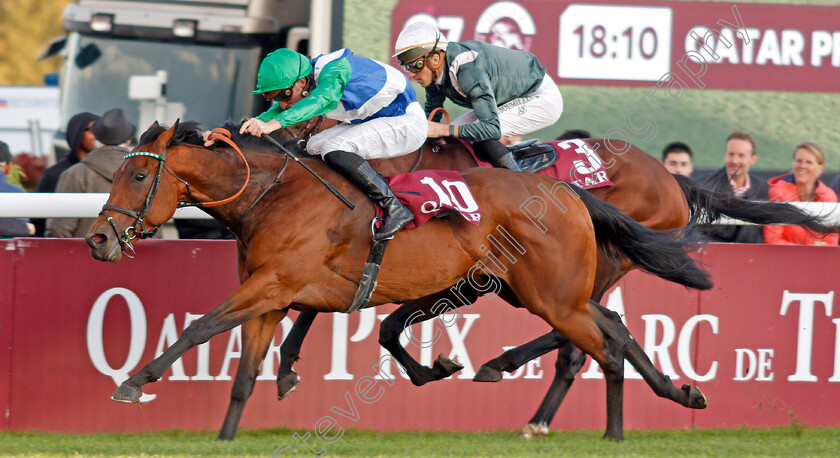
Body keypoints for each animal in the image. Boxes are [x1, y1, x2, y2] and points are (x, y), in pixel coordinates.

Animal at [87, 121, 716, 440]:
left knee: (601, 348)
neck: (275, 194)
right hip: (541, 290)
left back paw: (608, 432)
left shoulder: (273, 285)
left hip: (554, 295)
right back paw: (674, 392)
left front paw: (133, 382)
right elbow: (245, 373)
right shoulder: (272, 295)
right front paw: (225, 438)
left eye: (137, 175)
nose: (97, 239)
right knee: (612, 327)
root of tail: (566, 190)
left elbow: (200, 326)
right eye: (115, 172)